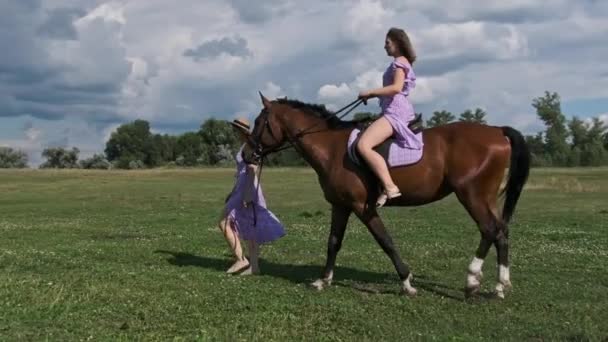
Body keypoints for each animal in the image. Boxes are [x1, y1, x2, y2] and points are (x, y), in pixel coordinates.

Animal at [249, 92, 528, 298]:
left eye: (258, 123)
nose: (247, 153)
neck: (332, 149)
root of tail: (496, 130)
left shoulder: (363, 207)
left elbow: (386, 241)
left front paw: (407, 282)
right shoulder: (340, 205)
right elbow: (333, 242)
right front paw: (323, 280)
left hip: (471, 195)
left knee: (489, 229)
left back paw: (471, 281)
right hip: (487, 198)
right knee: (501, 231)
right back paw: (500, 286)